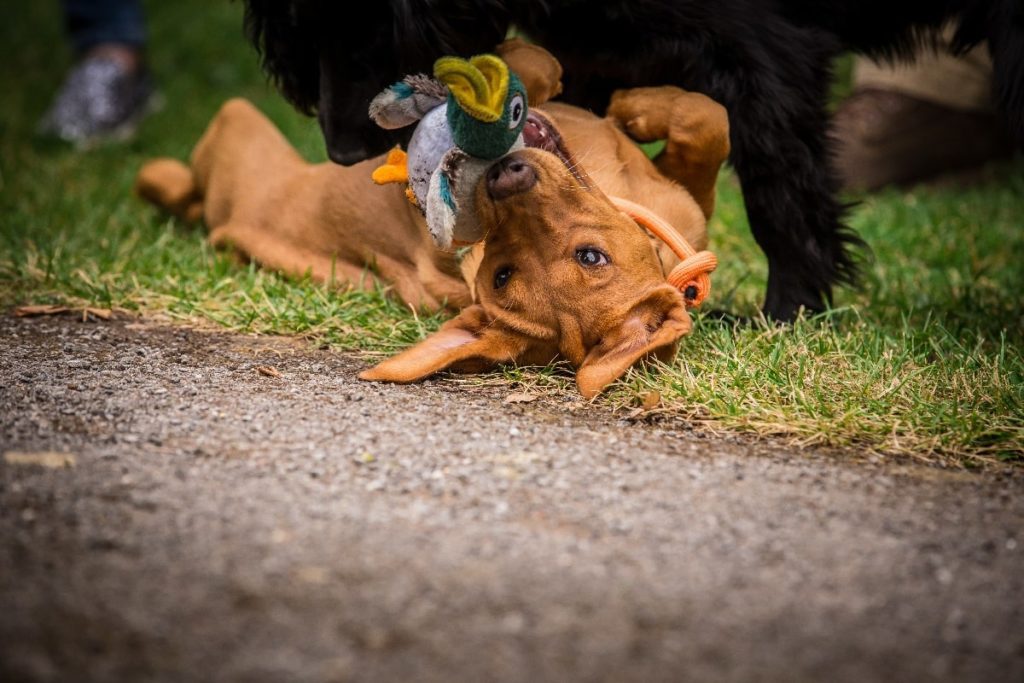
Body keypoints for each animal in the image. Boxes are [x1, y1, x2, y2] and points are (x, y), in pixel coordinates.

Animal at [138, 45, 729, 397]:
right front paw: (629, 103)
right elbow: (706, 120)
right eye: (502, 274)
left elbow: (705, 121)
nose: (502, 177)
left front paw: (631, 105)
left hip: (239, 127)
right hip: (238, 123)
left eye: (590, 256)